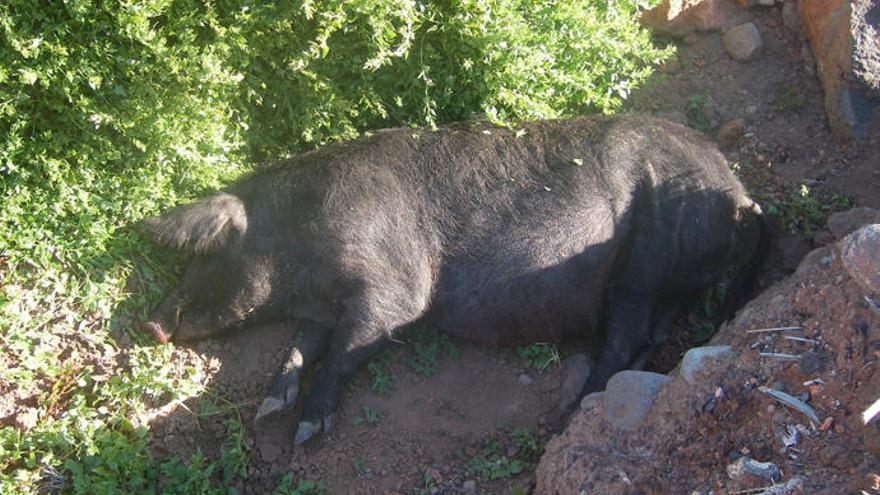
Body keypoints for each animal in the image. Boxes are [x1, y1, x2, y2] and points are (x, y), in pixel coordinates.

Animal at [143, 116, 764, 446]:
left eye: (206, 257)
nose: (150, 322)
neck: (304, 247)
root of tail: (738, 193)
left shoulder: (395, 288)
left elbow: (347, 349)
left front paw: (306, 432)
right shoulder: (321, 306)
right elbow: (301, 346)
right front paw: (272, 409)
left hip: (646, 262)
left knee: (625, 336)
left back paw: (573, 413)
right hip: (665, 281)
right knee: (651, 334)